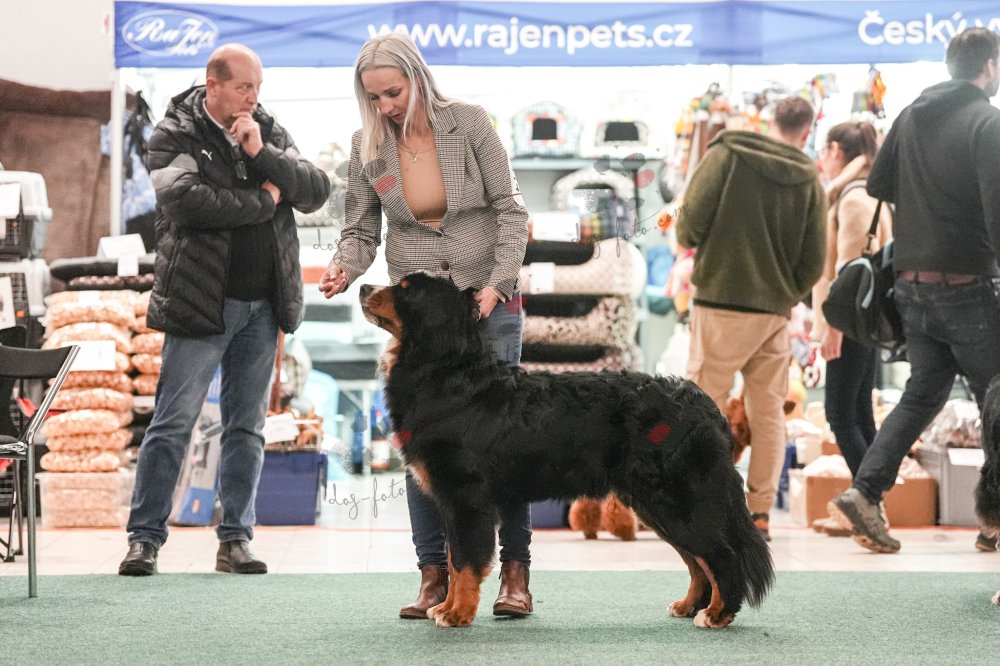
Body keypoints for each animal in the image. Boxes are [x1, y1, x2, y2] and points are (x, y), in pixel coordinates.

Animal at [360, 273, 774, 628]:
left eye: (406, 289)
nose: (364, 286)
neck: (446, 371)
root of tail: (704, 403)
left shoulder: (466, 499)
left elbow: (464, 561)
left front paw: (457, 612)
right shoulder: (454, 501)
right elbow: (453, 557)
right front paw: (444, 606)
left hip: (679, 499)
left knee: (721, 555)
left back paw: (718, 614)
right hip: (657, 503)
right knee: (696, 561)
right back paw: (690, 606)